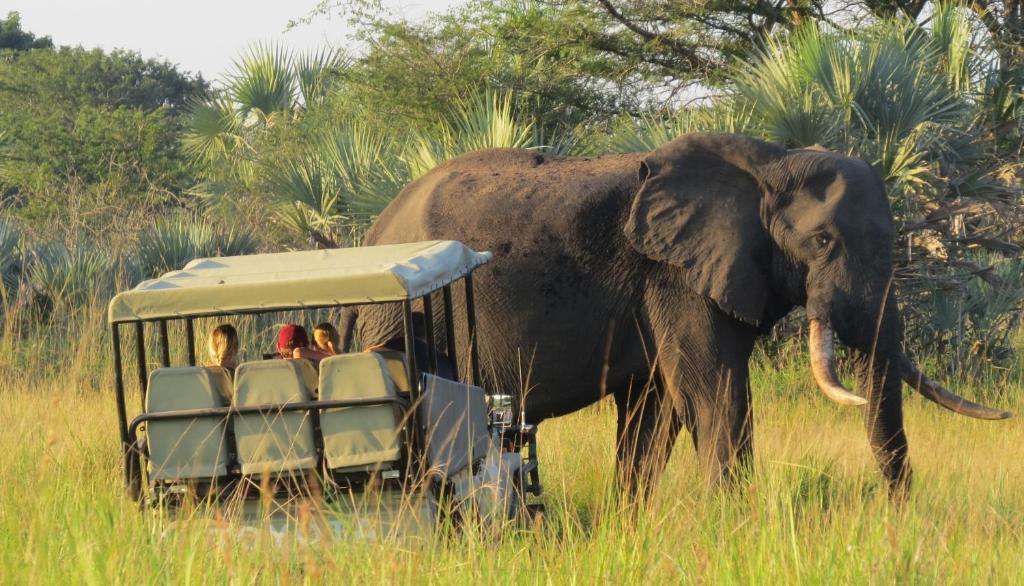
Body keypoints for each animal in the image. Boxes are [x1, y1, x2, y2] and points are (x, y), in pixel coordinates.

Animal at [350, 134, 1007, 499]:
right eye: (821, 243)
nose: (898, 519)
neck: (771, 162)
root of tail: (374, 230)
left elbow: (654, 412)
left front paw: (630, 527)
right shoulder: (678, 278)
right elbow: (715, 395)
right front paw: (734, 526)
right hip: (398, 316)